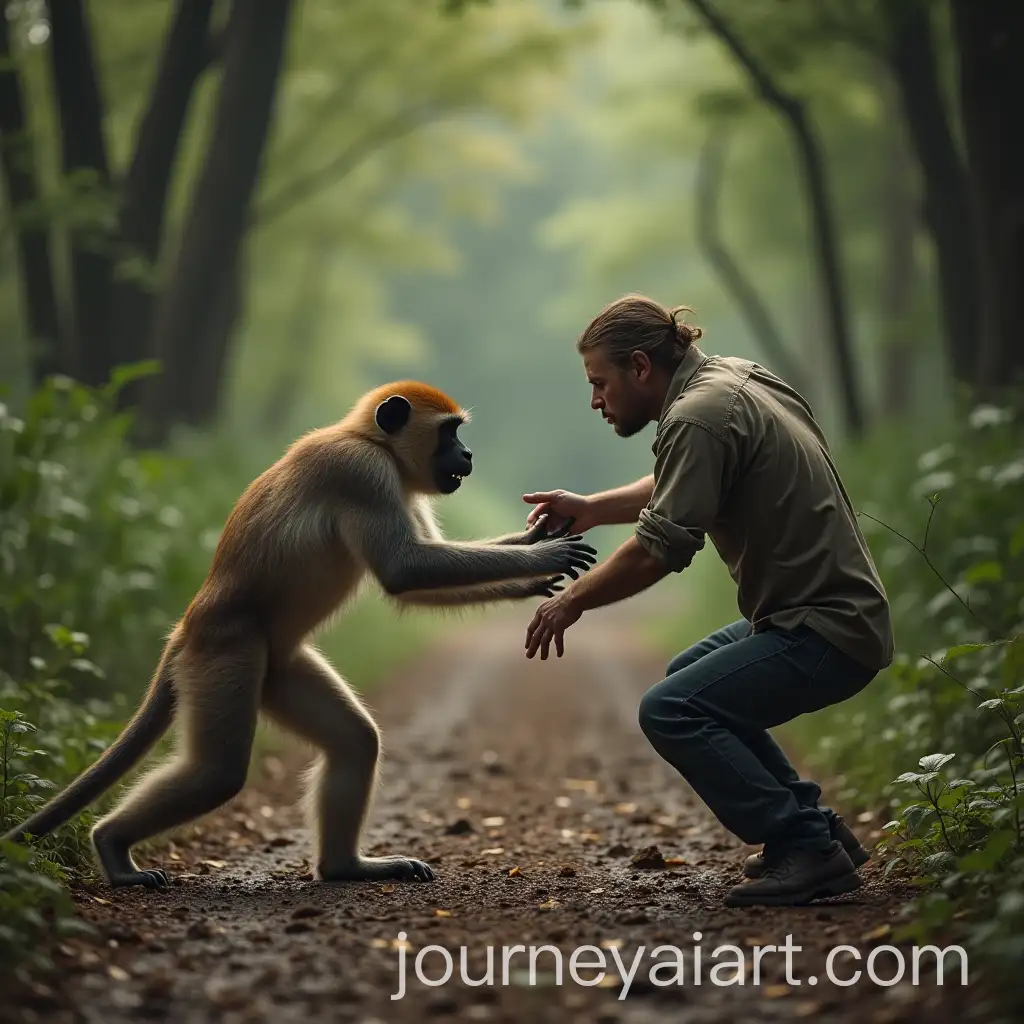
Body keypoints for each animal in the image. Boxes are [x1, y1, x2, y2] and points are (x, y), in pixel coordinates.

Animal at [3, 382, 597, 889]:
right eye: (450, 433)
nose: (468, 455)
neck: (368, 439)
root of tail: (188, 627)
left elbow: (411, 588)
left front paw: (534, 563)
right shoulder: (364, 473)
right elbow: (404, 570)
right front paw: (543, 554)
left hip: (277, 669)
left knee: (355, 740)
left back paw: (344, 867)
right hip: (226, 656)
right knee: (218, 772)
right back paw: (110, 847)